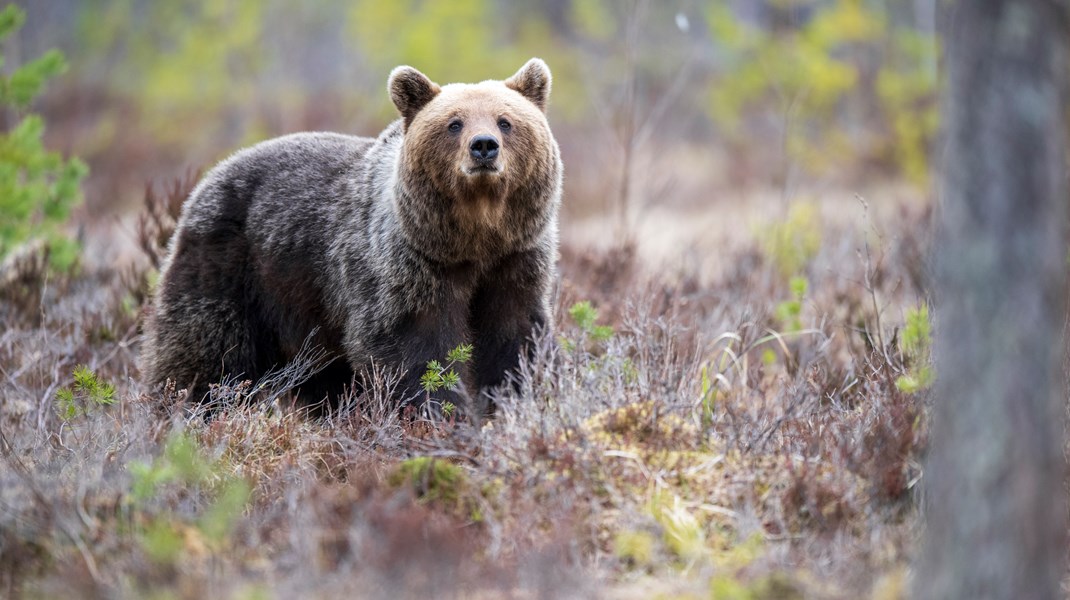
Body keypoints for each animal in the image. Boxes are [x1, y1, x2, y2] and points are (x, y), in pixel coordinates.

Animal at [138, 58, 564, 410]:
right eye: (454, 123)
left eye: (505, 121)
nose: (484, 146)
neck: (474, 239)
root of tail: (209, 177)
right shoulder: (407, 269)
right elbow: (415, 351)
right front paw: (438, 412)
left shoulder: (516, 262)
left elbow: (515, 341)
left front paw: (518, 399)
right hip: (231, 268)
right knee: (207, 356)